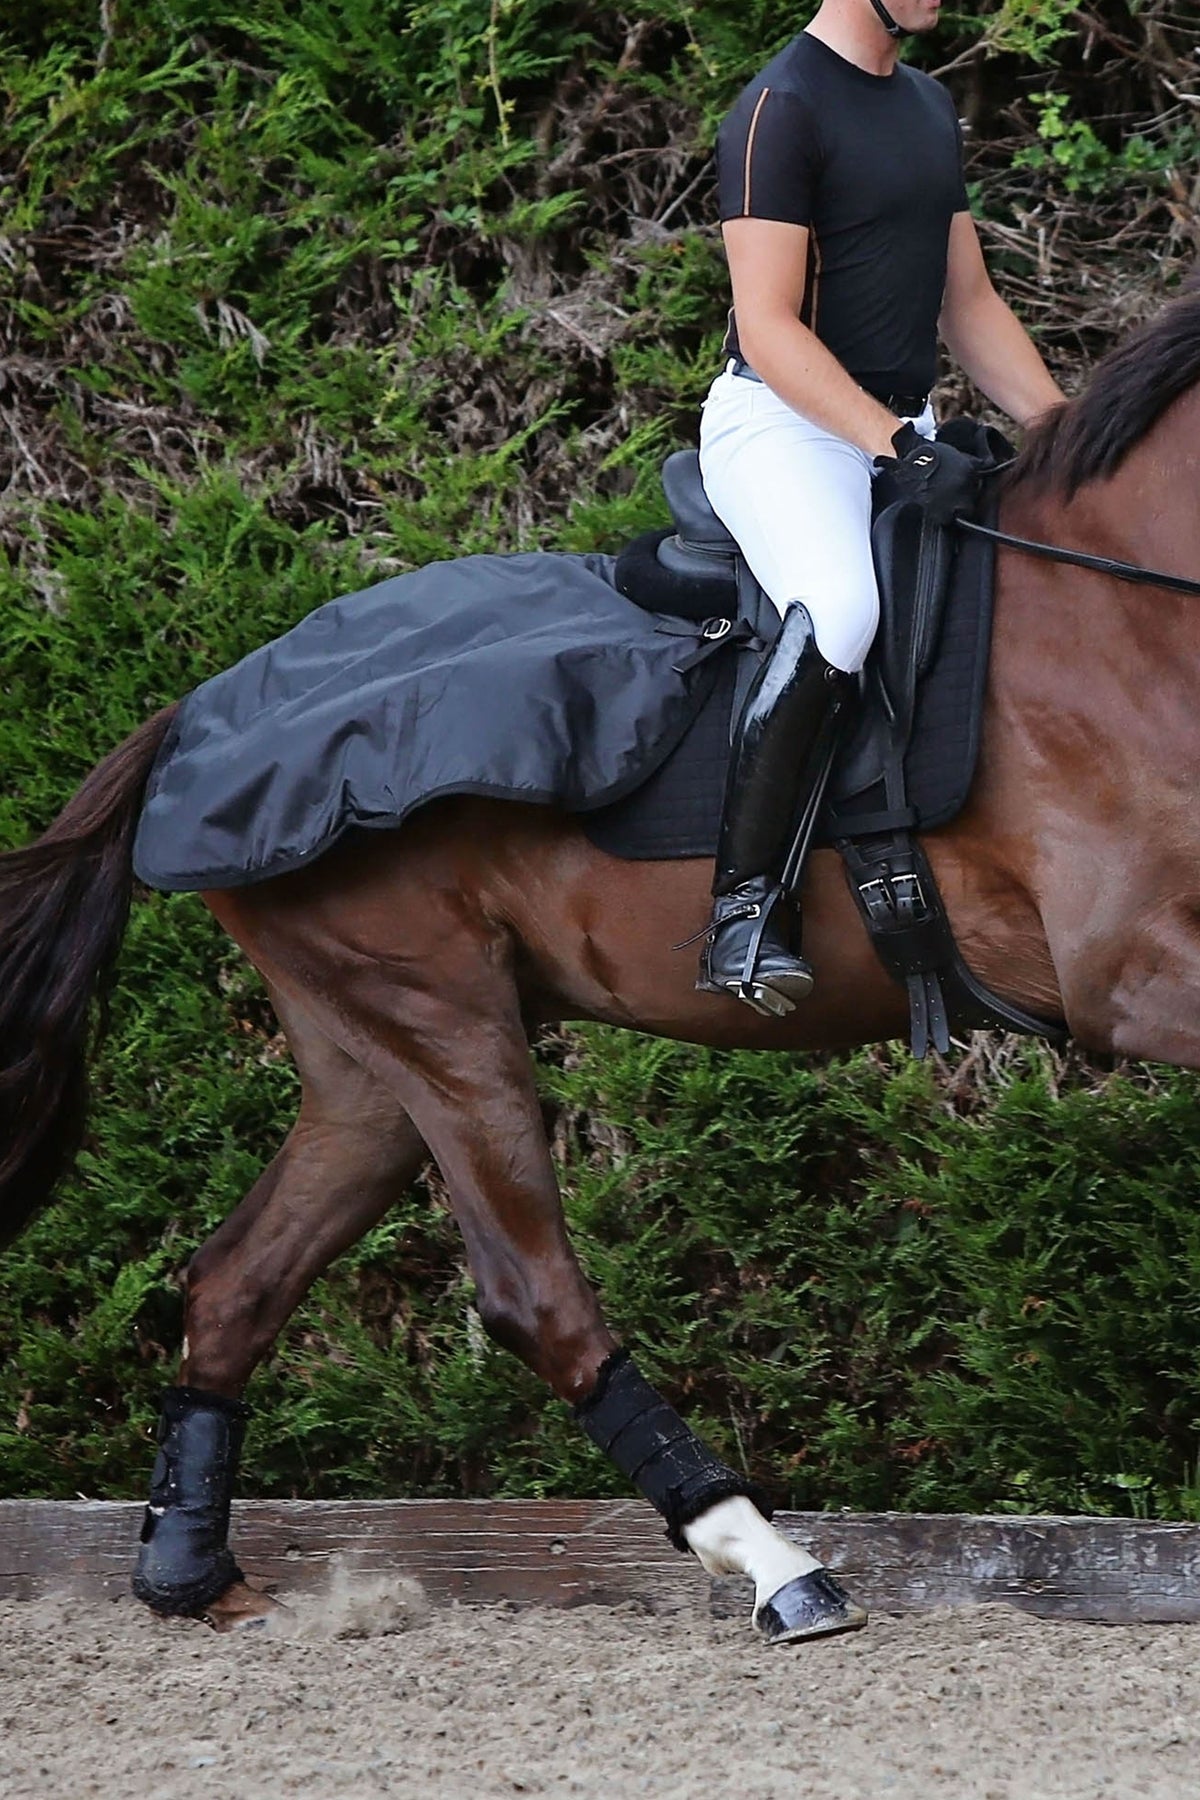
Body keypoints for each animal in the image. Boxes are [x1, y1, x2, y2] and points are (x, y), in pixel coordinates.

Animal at [3, 280, 1200, 1644]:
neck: (1133, 611)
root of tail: (197, 712)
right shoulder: (1132, 973)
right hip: (443, 1022)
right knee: (533, 1297)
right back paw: (774, 1565)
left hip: (366, 1062)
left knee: (236, 1280)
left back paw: (191, 1576)